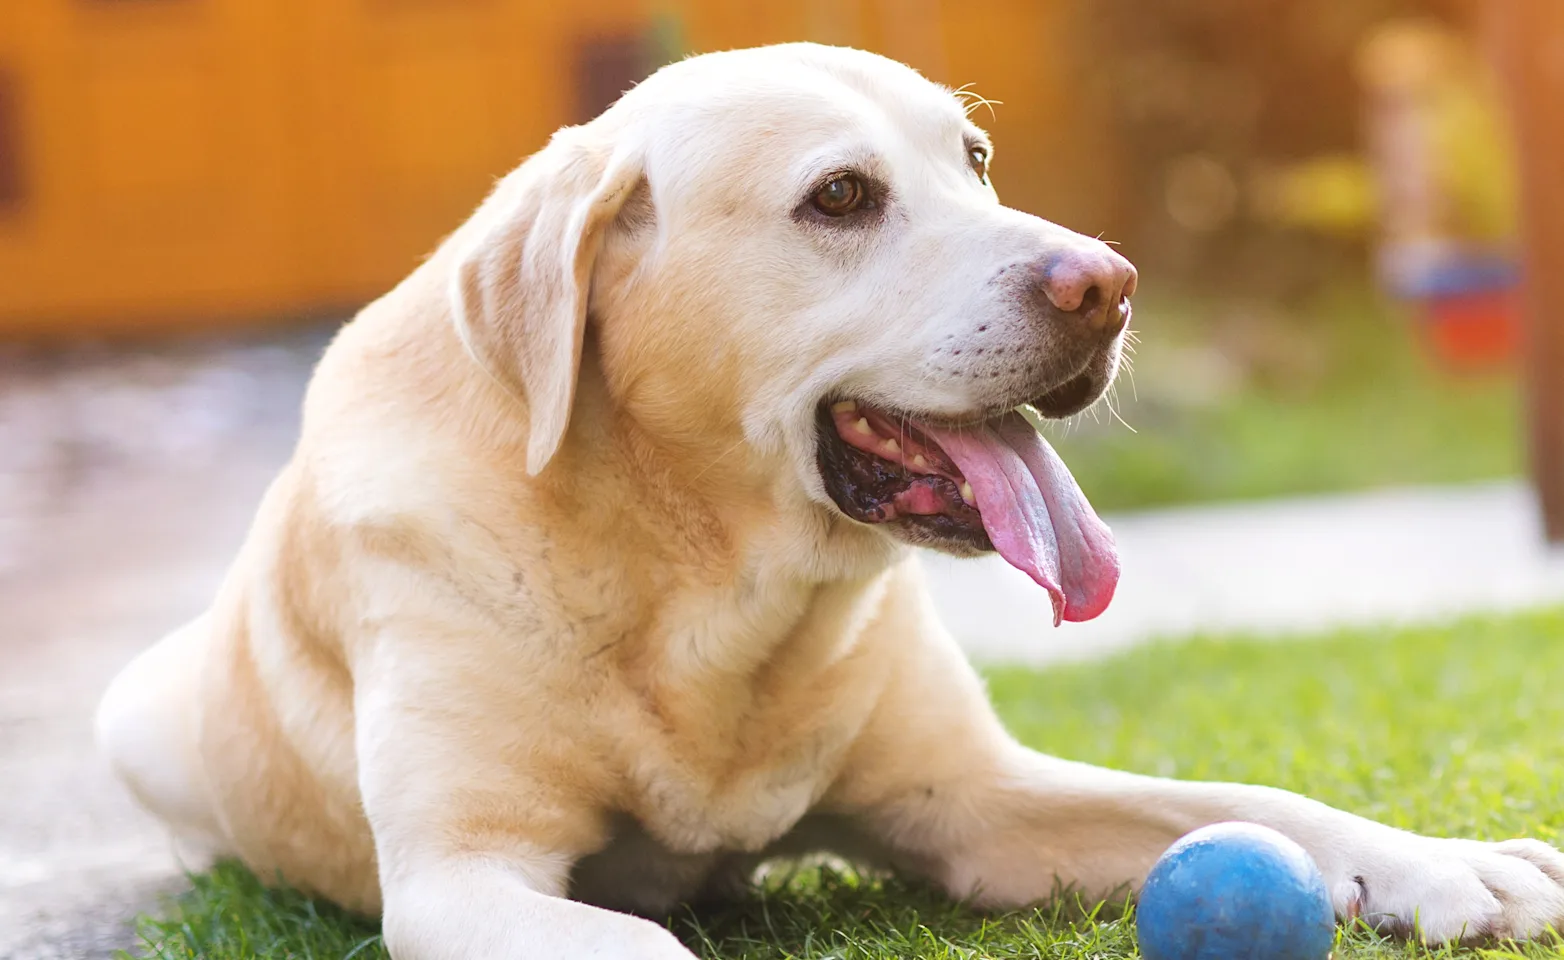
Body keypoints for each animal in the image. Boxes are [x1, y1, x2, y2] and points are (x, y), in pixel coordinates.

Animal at [94, 43, 1564, 956]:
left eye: (976, 158)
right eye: (842, 196)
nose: (1109, 283)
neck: (701, 583)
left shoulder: (979, 804)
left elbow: (1256, 800)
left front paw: (1453, 864)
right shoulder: (464, 876)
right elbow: (637, 946)